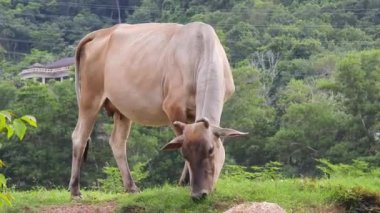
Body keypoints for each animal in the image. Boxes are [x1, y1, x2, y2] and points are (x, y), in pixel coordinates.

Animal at [69, 22, 246, 201]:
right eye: (185, 154)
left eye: (210, 150)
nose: (198, 194)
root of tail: (99, 33)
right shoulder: (173, 106)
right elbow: (180, 138)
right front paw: (184, 182)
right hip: (90, 98)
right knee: (79, 137)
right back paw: (75, 190)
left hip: (121, 110)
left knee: (117, 142)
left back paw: (131, 187)